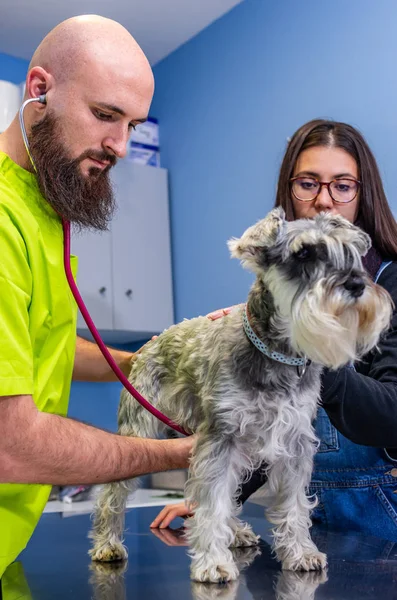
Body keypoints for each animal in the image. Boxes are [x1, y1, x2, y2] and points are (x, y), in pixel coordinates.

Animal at [89, 209, 390, 584]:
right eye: (304, 253)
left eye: (350, 253)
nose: (356, 285)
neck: (278, 354)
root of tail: (147, 346)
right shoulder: (222, 438)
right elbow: (212, 501)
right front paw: (212, 563)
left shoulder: (294, 443)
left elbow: (292, 505)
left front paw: (300, 553)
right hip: (140, 430)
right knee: (112, 493)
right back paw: (108, 544)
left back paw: (236, 532)